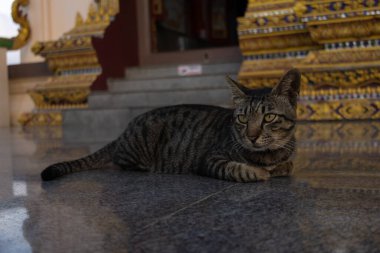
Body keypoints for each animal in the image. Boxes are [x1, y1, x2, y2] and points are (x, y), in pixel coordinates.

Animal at [40, 68, 300, 182]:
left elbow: (287, 165)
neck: (269, 155)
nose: (252, 136)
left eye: (269, 118)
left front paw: (276, 167)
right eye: (243, 119)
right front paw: (259, 172)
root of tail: (123, 132)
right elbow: (238, 169)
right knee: (120, 161)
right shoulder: (210, 159)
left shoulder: (287, 158)